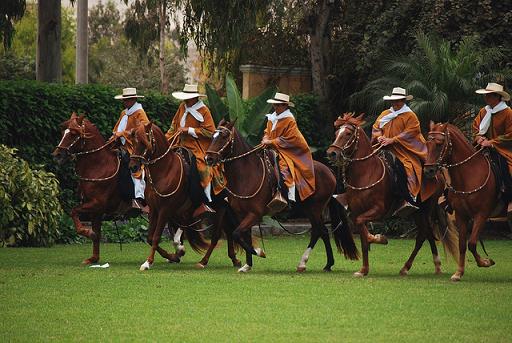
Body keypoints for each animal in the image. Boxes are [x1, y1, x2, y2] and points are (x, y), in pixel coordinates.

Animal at [127, 122, 241, 270]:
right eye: (133, 142)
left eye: (144, 142)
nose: (133, 167)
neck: (165, 171)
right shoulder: (154, 209)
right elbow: (150, 238)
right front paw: (173, 256)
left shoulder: (165, 210)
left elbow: (157, 236)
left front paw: (148, 262)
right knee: (226, 230)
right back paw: (234, 259)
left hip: (220, 207)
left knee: (216, 235)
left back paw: (204, 261)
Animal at [202, 119, 358, 272]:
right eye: (212, 136)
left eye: (223, 137)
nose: (208, 158)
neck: (247, 175)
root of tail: (328, 171)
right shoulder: (242, 214)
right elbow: (243, 235)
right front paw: (247, 265)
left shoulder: (255, 214)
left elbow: (236, 234)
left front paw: (258, 252)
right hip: (311, 210)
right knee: (322, 232)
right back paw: (324, 264)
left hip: (314, 209)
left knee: (320, 231)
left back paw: (309, 263)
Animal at [326, 114, 458, 278]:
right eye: (336, 133)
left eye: (348, 134)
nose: (331, 153)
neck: (366, 173)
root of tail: (438, 174)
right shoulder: (356, 212)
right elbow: (362, 235)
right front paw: (364, 269)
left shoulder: (378, 210)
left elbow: (365, 231)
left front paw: (378, 238)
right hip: (417, 213)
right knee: (427, 233)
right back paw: (436, 265)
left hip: (426, 209)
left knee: (423, 234)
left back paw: (408, 267)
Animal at [424, 123, 500, 282]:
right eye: (427, 143)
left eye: (439, 144)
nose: (428, 170)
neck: (469, 176)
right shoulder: (461, 215)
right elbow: (462, 245)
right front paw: (459, 273)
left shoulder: (481, 214)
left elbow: (472, 243)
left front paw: (485, 262)